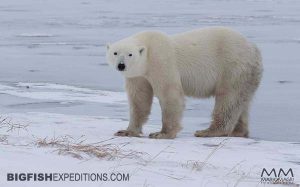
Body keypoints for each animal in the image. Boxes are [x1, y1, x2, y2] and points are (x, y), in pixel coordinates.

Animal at [106, 27, 262, 140]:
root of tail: (254, 49)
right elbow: (139, 99)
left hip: (233, 67)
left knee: (228, 99)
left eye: (130, 54)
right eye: (115, 52)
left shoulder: (161, 60)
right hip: (246, 75)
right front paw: (126, 131)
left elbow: (170, 94)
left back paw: (208, 131)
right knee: (241, 102)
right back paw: (238, 131)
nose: (121, 65)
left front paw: (162, 133)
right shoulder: (138, 75)